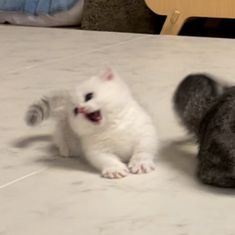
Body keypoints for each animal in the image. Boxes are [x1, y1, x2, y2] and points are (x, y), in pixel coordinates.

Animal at [25, 68, 158, 178]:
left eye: (89, 96)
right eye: (75, 110)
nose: (81, 109)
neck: (111, 127)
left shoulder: (145, 133)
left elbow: (143, 150)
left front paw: (140, 163)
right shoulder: (96, 149)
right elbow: (106, 159)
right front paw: (114, 169)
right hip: (62, 134)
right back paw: (65, 151)